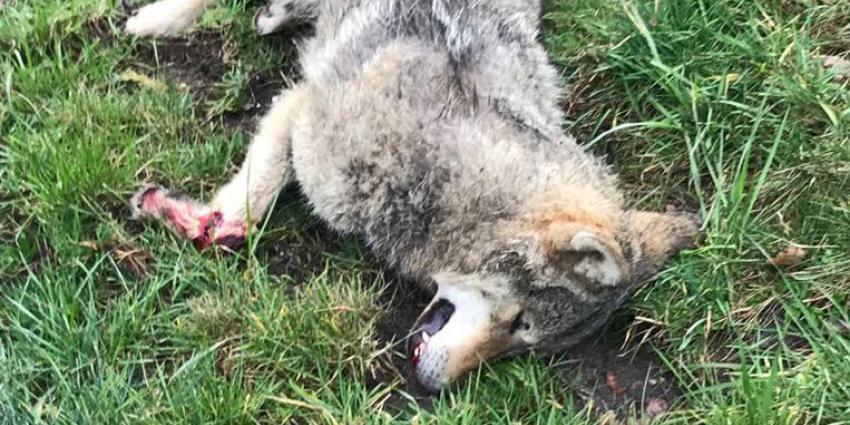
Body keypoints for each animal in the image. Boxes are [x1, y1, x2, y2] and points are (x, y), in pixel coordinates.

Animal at [126, 0, 700, 391]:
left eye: (524, 346)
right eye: (519, 323)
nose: (434, 387)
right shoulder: (301, 111)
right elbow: (248, 205)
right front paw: (208, 219)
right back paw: (158, 19)